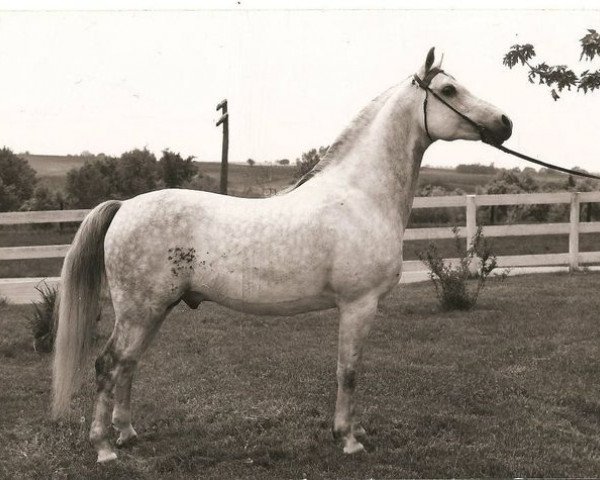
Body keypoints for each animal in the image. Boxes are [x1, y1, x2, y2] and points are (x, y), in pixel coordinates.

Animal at [51, 47, 510, 462]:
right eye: (449, 89)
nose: (505, 123)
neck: (362, 195)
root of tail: (125, 206)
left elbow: (352, 370)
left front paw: (355, 429)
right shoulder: (358, 305)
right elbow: (349, 371)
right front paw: (348, 439)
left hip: (152, 311)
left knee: (128, 365)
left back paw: (127, 433)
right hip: (139, 310)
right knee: (108, 365)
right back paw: (105, 447)